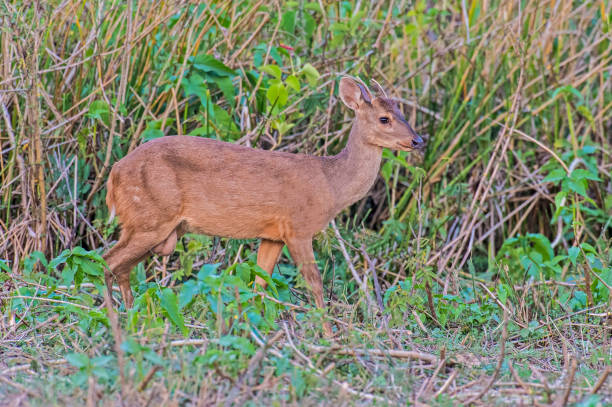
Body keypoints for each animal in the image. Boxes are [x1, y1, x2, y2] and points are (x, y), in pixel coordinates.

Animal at [103, 75, 424, 334]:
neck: (331, 184)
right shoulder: (298, 228)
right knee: (108, 261)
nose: (418, 140)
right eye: (384, 118)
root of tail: (114, 174)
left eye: (401, 112)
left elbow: (259, 284)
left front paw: (251, 328)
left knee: (121, 267)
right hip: (151, 217)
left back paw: (131, 316)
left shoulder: (273, 235)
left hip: (157, 228)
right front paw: (329, 335)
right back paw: (114, 321)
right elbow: (315, 283)